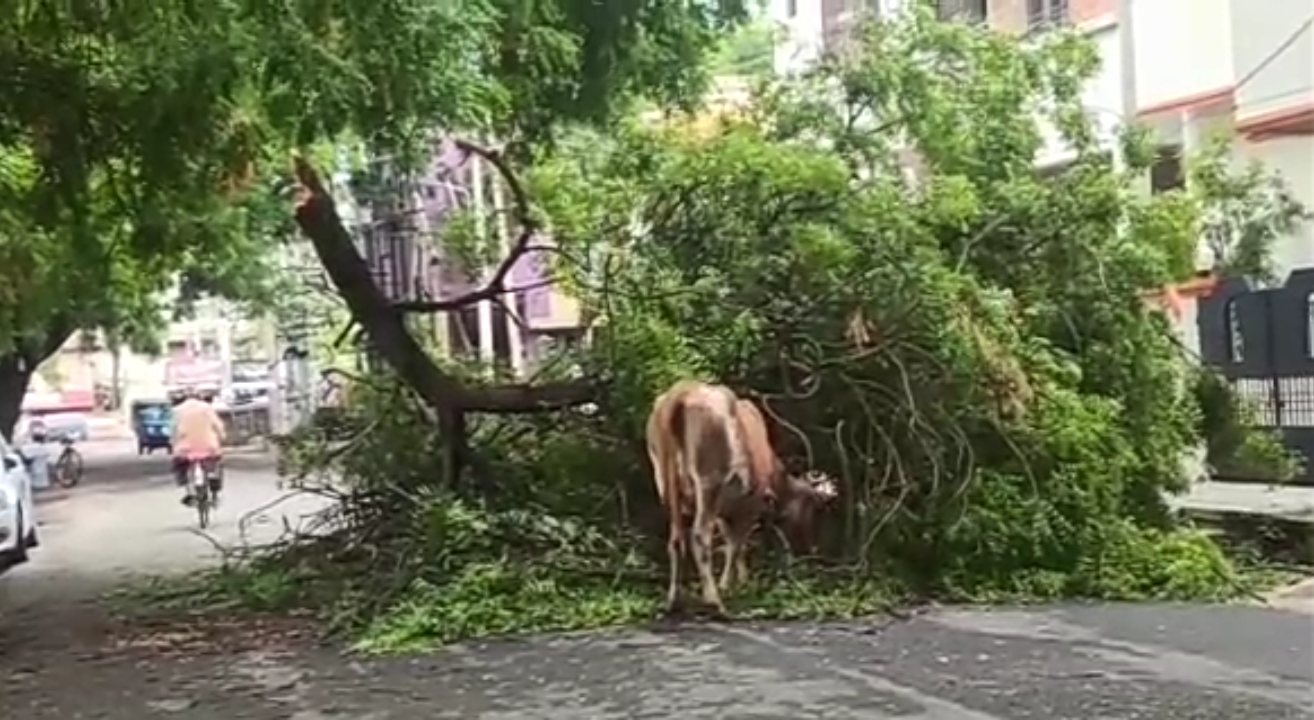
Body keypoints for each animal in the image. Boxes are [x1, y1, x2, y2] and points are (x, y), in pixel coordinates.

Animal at [646, 378, 840, 614]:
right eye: (812, 508)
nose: (810, 549)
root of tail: (679, 395)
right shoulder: (750, 503)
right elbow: (736, 545)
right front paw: (731, 586)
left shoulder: (727, 510)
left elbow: (733, 542)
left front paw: (739, 581)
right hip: (709, 479)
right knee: (700, 535)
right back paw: (714, 602)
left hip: (665, 481)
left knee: (675, 538)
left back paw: (673, 601)